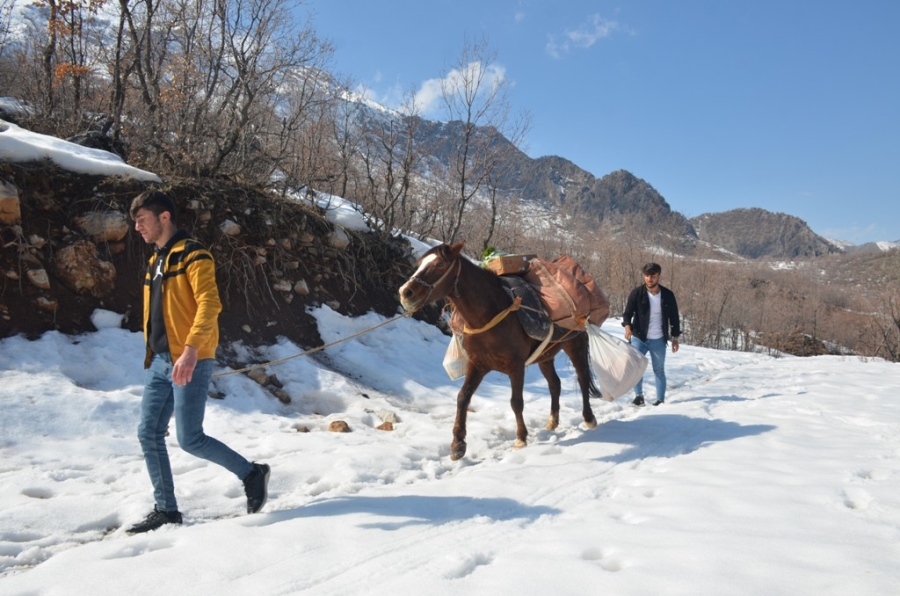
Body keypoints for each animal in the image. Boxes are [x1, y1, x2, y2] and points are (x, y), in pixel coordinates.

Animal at [400, 242, 596, 460]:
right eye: (419, 264)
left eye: (440, 264)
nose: (406, 293)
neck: (490, 314)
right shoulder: (477, 365)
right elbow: (462, 398)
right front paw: (458, 444)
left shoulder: (516, 367)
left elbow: (516, 402)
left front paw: (521, 438)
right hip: (545, 356)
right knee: (555, 384)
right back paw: (553, 421)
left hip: (575, 346)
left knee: (582, 378)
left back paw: (589, 418)